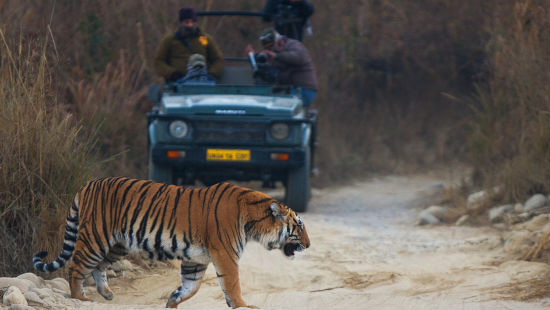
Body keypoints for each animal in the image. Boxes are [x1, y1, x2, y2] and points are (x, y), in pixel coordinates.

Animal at [32, 177, 312, 308]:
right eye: (299, 225)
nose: (309, 245)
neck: (253, 221)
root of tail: (88, 184)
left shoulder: (196, 259)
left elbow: (191, 287)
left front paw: (172, 301)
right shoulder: (225, 254)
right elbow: (232, 284)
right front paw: (243, 305)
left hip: (117, 245)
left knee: (99, 267)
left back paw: (107, 293)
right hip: (95, 237)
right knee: (76, 266)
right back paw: (81, 297)